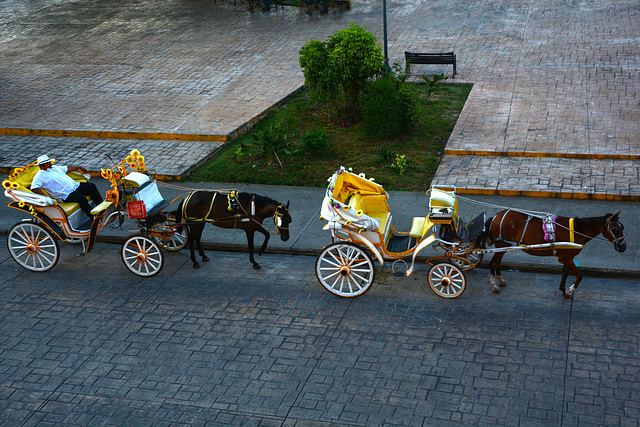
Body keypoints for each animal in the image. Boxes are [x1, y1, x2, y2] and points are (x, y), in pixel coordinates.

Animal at [484, 210, 624, 298]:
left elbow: (565, 272)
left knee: (497, 262)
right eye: (615, 229)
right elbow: (579, 276)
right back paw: (494, 285)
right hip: (501, 243)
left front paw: (563, 289)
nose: (624, 246)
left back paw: (500, 280)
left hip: (504, 245)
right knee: (493, 262)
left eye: (622, 227)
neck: (576, 231)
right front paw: (569, 291)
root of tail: (497, 216)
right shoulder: (565, 257)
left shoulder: (568, 257)